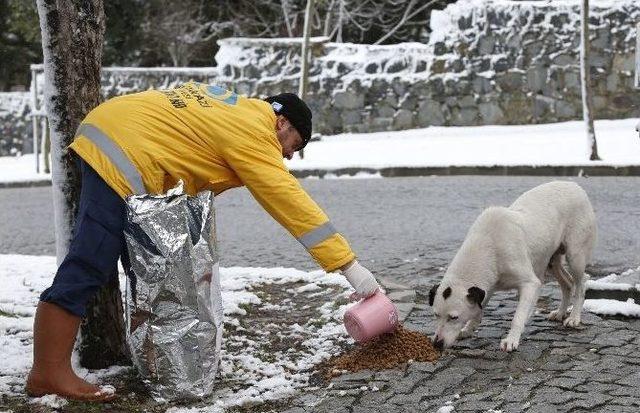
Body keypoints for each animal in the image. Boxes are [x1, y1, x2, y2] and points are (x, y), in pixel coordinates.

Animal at [428, 180, 596, 350]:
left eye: (453, 317)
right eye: (436, 315)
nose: (436, 344)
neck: (489, 244)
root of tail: (574, 185)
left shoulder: (530, 283)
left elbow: (518, 316)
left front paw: (511, 339)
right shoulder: (487, 286)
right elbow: (478, 310)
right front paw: (469, 329)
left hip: (575, 256)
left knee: (581, 282)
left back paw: (574, 317)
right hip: (551, 261)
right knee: (567, 283)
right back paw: (561, 312)